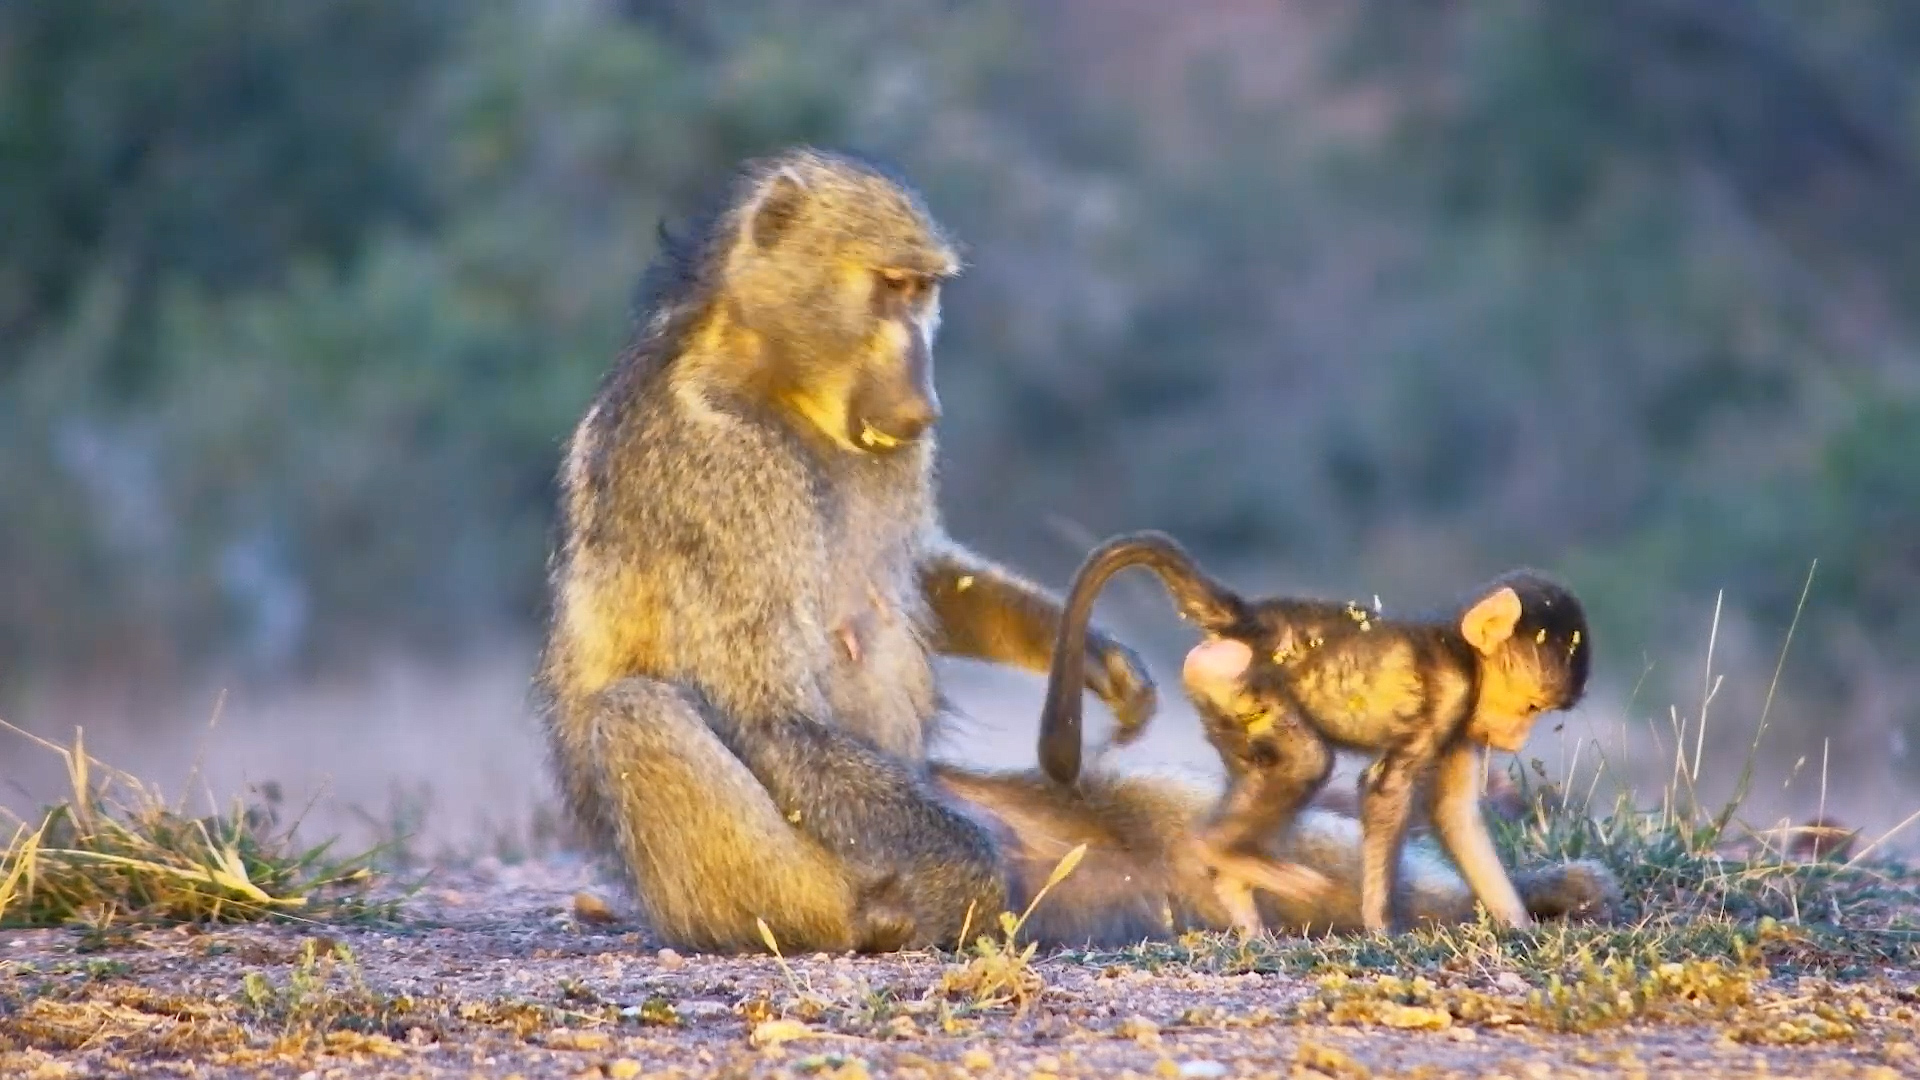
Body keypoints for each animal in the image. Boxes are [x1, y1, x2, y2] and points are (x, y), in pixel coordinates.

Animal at [1036, 529, 1597, 935]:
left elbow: (1454, 814)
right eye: (1529, 706)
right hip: (1245, 683)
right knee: (1307, 763)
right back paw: (1221, 851)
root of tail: (1251, 621)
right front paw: (1381, 929)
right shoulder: (1452, 696)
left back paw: (1237, 890)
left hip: (1218, 694)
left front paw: (1520, 926)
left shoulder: (1464, 726)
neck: (1460, 650)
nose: (1517, 738)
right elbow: (1386, 790)